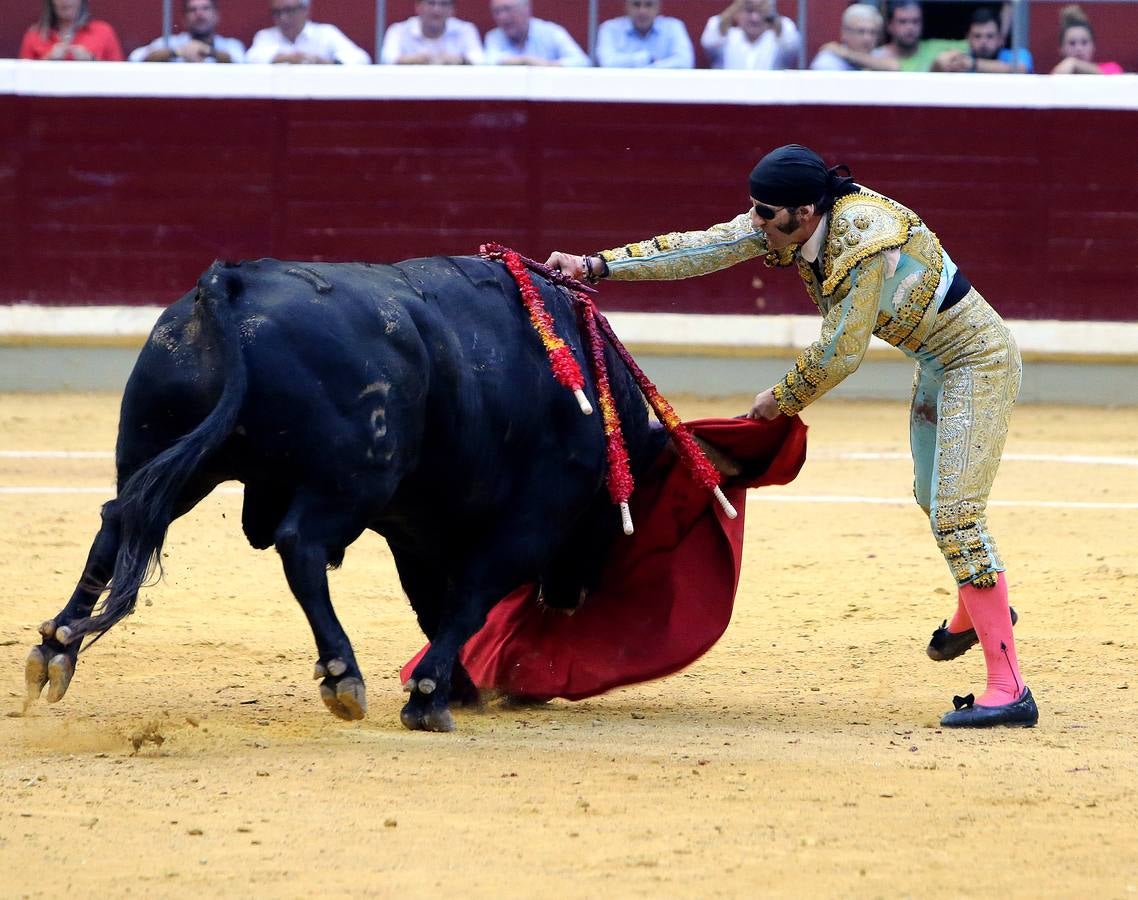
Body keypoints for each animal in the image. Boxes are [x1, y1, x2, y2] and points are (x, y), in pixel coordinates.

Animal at [24, 254, 664, 732]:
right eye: (622, 513)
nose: (570, 597)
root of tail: (230, 282)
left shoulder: (413, 526)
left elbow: (432, 602)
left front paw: (455, 688)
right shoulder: (529, 522)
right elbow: (468, 598)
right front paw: (430, 697)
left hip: (162, 453)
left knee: (116, 522)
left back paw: (56, 648)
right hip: (347, 485)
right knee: (300, 546)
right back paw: (342, 674)